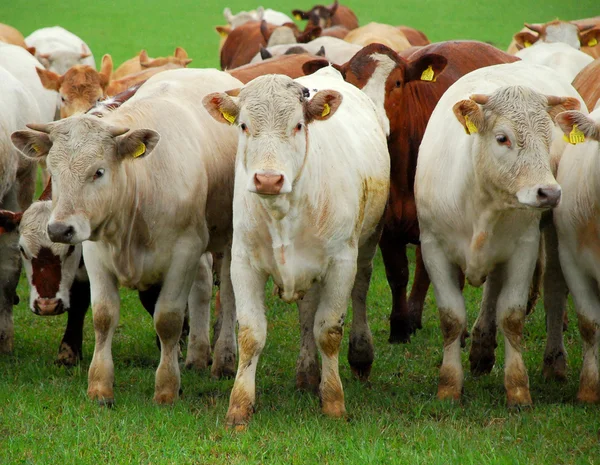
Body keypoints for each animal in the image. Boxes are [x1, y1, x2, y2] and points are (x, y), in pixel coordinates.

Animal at [10, 67, 243, 404]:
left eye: (99, 171)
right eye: (53, 168)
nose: (58, 229)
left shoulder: (183, 253)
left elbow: (167, 319)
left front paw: (167, 386)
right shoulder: (96, 253)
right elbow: (103, 316)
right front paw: (99, 386)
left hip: (231, 236)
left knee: (228, 289)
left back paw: (223, 357)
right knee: (202, 285)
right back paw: (198, 355)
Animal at [414, 60, 584, 406]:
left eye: (548, 138)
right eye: (503, 138)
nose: (549, 192)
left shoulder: (524, 247)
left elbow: (512, 316)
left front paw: (518, 388)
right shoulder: (432, 247)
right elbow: (452, 318)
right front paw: (449, 385)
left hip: (553, 234)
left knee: (554, 290)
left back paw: (554, 362)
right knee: (493, 286)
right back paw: (481, 348)